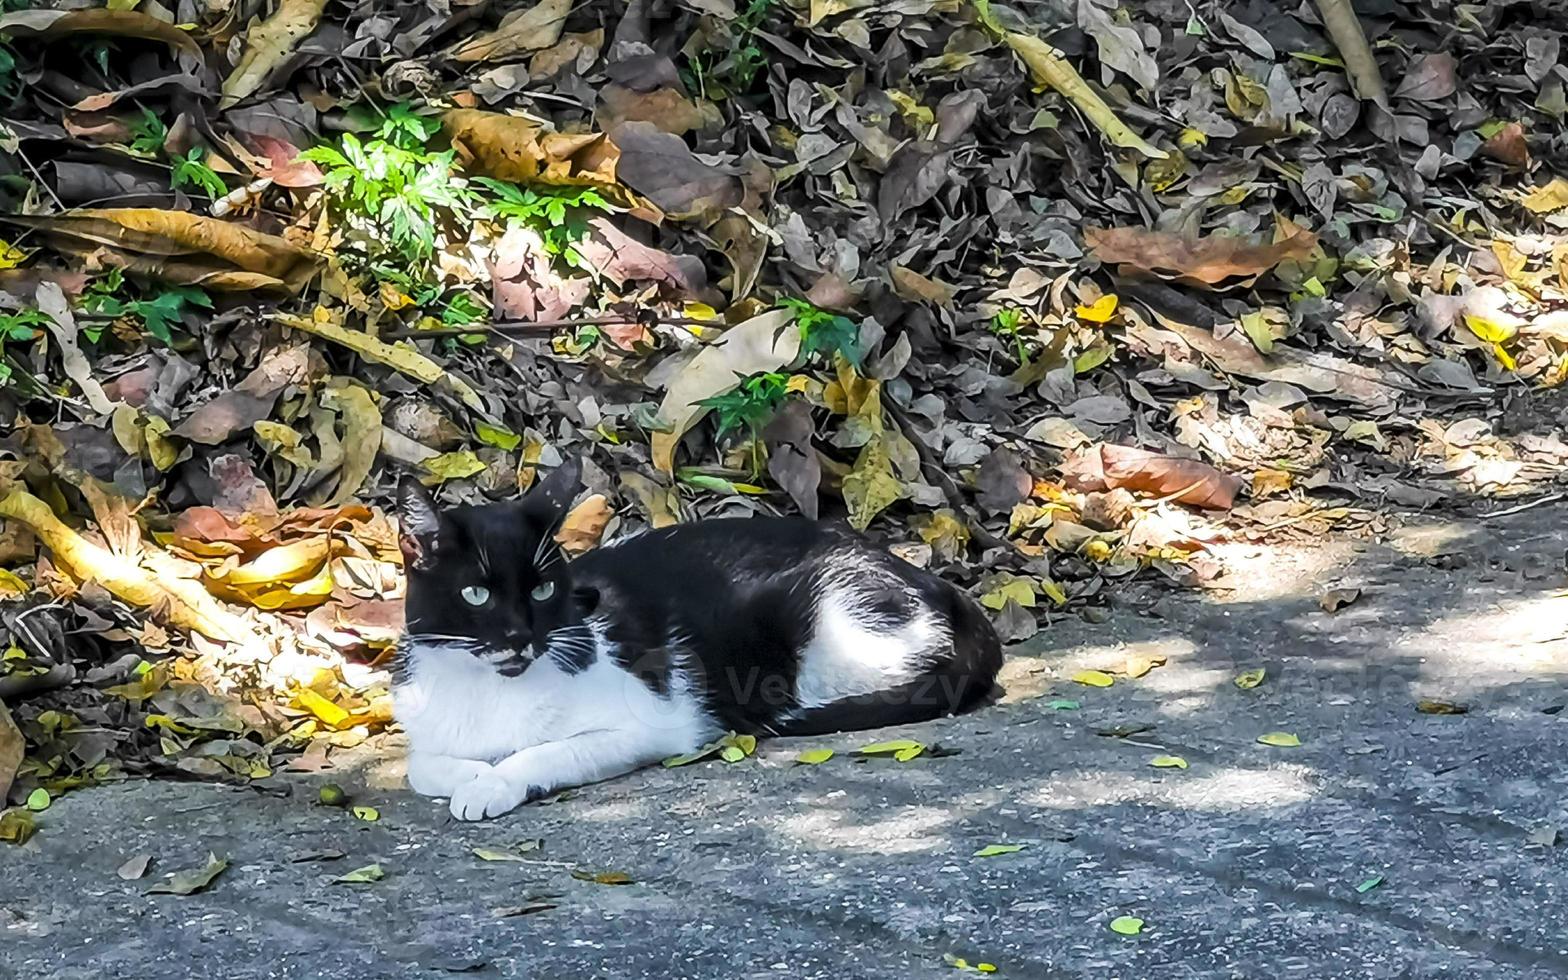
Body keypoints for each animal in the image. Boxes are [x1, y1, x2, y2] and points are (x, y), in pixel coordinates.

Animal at [395, 457, 1003, 815]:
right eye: (477, 595)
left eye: (543, 590)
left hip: (829, 629)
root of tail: (945, 587)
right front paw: (475, 774)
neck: (489, 692)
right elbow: (422, 766)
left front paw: (492, 784)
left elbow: (545, 753)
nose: (521, 635)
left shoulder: (651, 723)